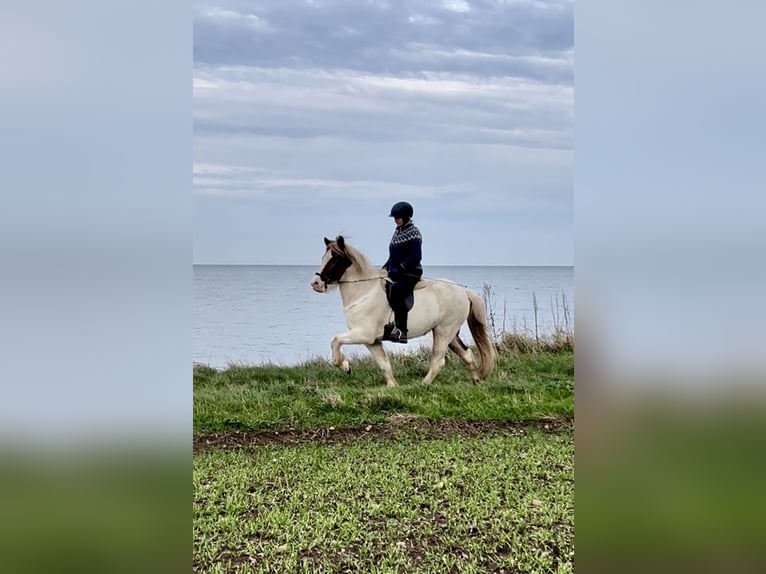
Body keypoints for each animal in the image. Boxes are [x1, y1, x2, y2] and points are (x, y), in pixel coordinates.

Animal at [310, 235, 496, 386]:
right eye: (323, 258)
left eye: (334, 260)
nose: (315, 284)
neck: (363, 292)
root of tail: (463, 292)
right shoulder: (372, 341)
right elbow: (383, 364)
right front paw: (393, 386)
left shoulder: (363, 334)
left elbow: (335, 340)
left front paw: (344, 366)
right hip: (450, 334)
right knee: (467, 354)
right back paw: (477, 380)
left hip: (444, 331)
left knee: (438, 360)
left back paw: (423, 385)